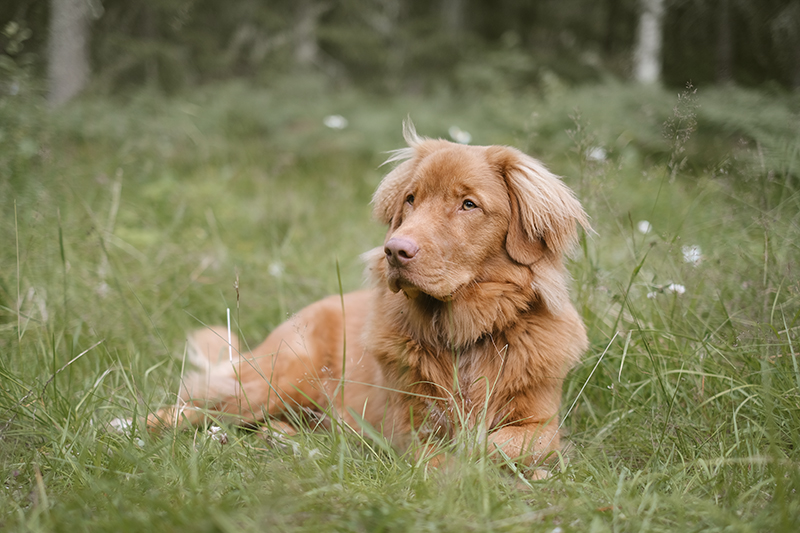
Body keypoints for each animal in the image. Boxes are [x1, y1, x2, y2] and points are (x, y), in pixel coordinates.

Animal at [147, 122, 592, 472]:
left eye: (469, 204)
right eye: (411, 199)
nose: (395, 250)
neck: (462, 333)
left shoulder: (541, 422)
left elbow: (507, 444)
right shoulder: (409, 424)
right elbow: (440, 454)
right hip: (281, 379)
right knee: (189, 407)